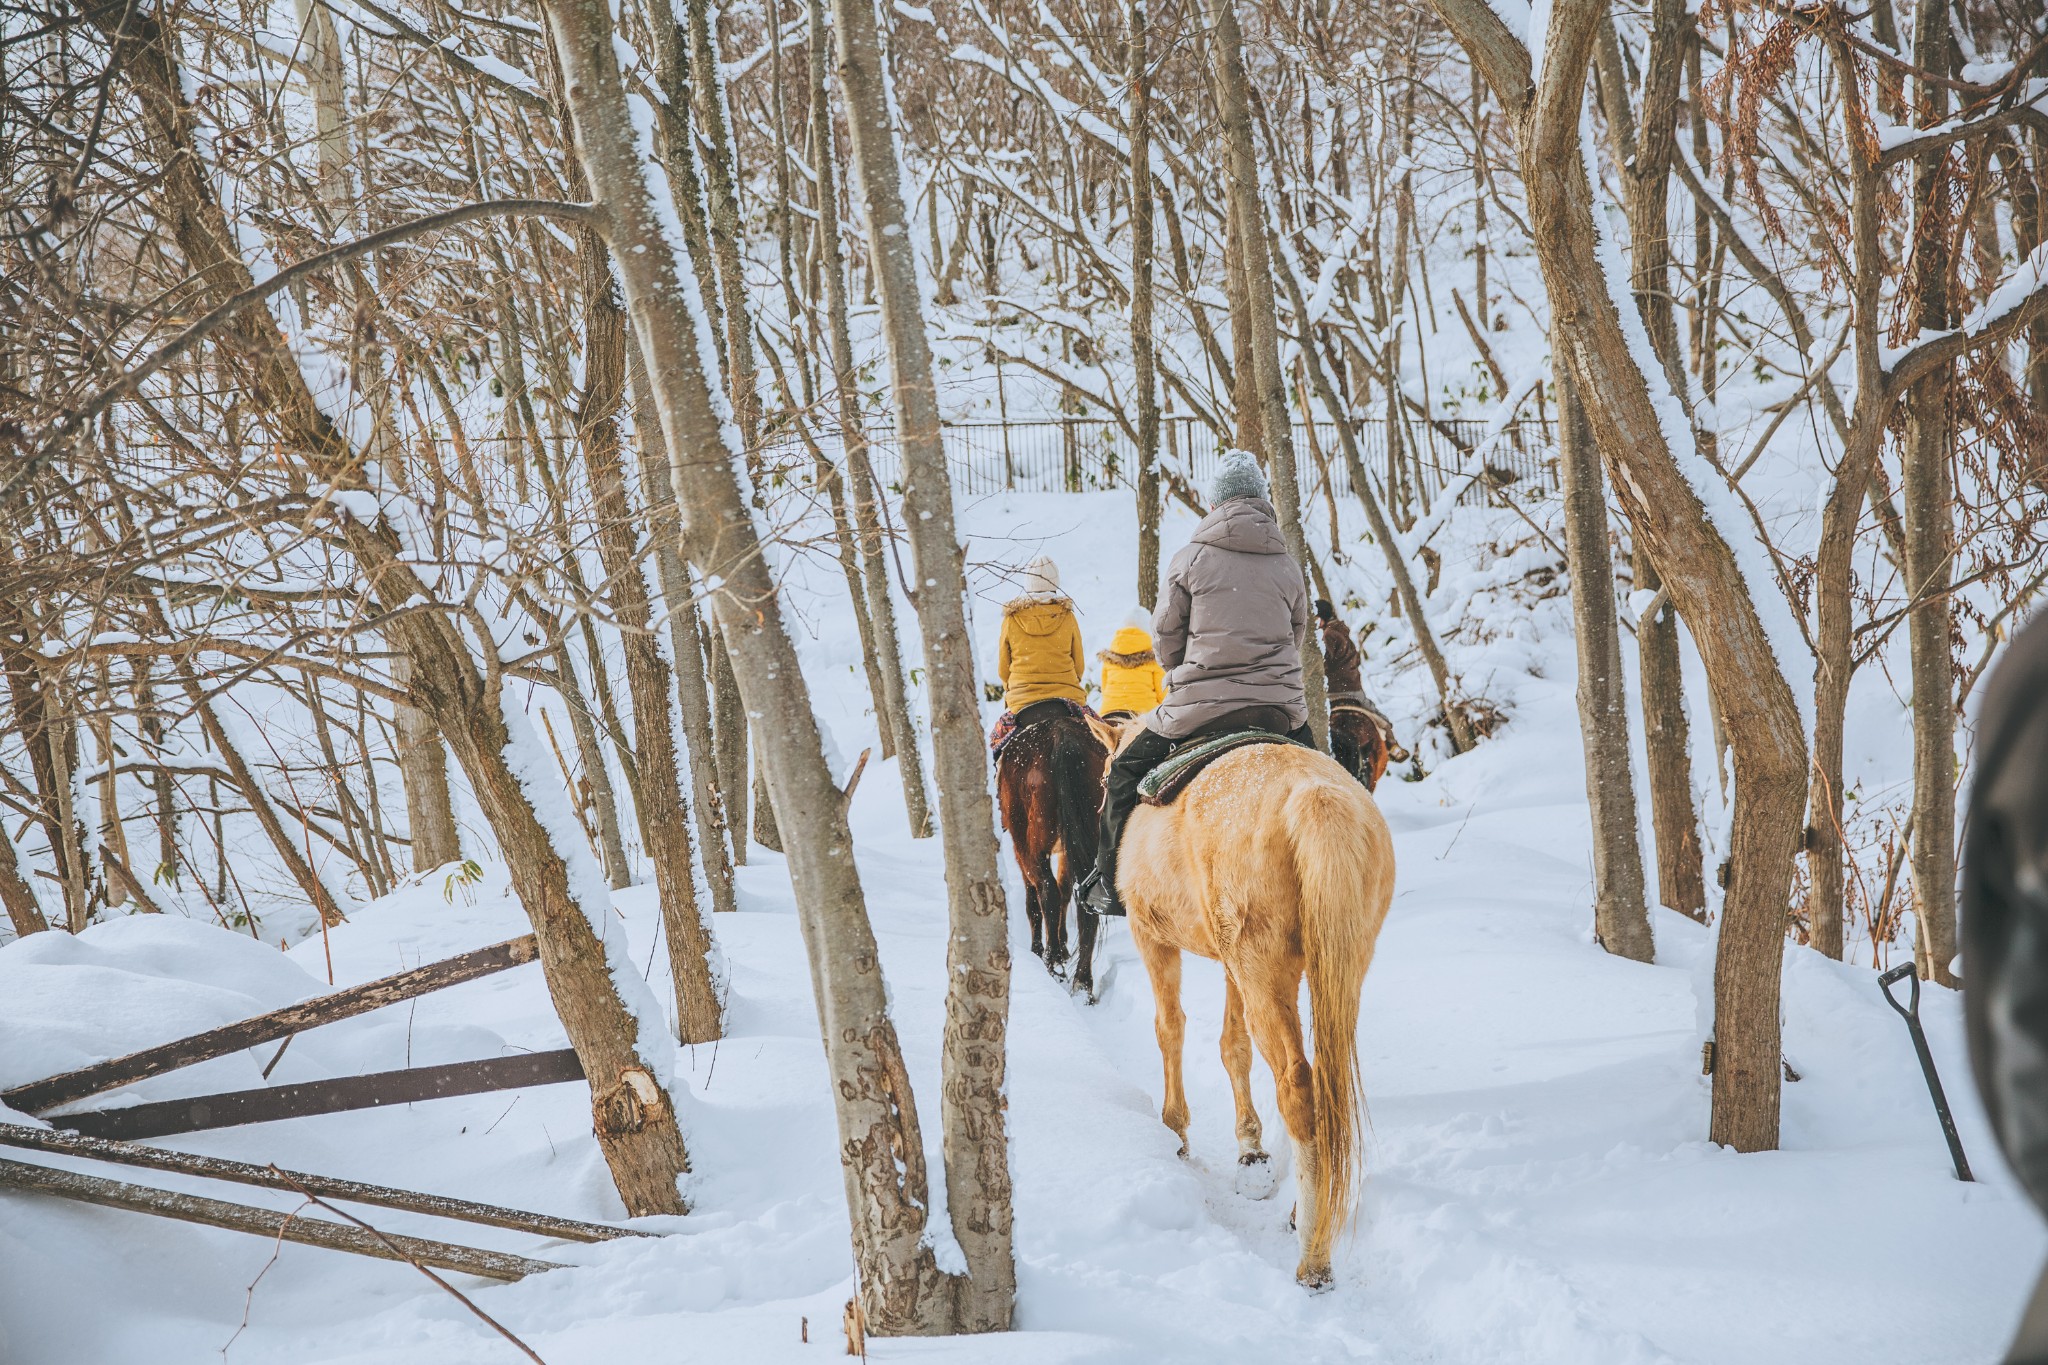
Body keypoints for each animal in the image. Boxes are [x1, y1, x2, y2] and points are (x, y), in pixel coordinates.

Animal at [991, 716, 1105, 994]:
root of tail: (1061, 738)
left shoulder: (1020, 845)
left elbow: (1034, 900)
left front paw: (1042, 948)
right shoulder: (1068, 848)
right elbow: (1066, 890)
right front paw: (1064, 945)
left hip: (1031, 841)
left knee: (1046, 890)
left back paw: (1052, 963)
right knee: (1083, 898)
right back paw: (1083, 982)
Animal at [1122, 736, 1392, 1285]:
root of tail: (1314, 797)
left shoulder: (1151, 937)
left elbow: (1170, 1027)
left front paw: (1175, 1130)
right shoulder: (1232, 967)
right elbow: (1233, 1046)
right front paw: (1251, 1152)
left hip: (1262, 969)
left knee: (1297, 1087)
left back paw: (1313, 1255)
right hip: (1334, 966)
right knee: (1327, 1082)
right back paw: (1311, 1210)